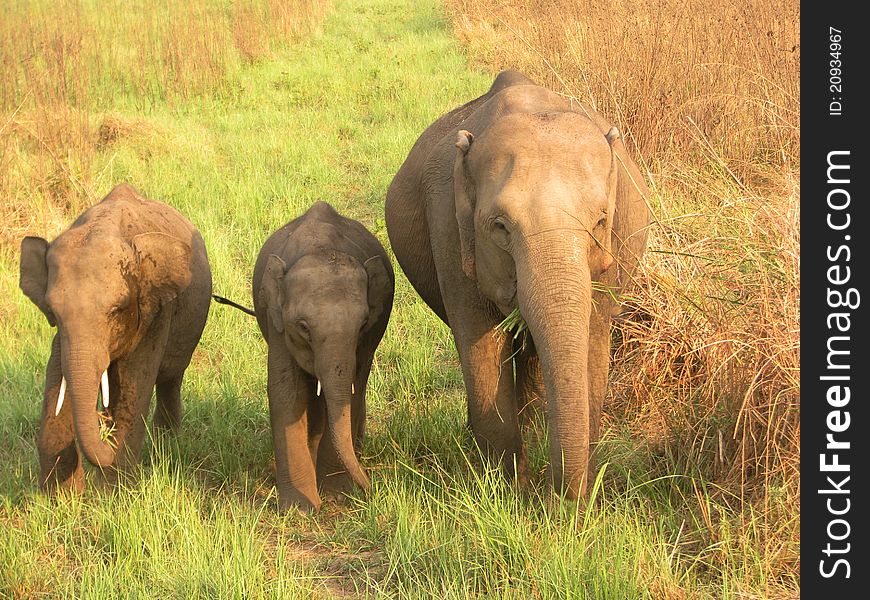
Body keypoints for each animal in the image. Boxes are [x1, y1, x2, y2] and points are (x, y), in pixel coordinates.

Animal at [252, 202, 396, 510]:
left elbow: (351, 390)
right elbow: (286, 393)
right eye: (303, 327)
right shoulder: (277, 322)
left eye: (363, 323)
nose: (373, 489)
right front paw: (300, 509)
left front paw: (336, 495)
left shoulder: (366, 340)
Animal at [384, 69, 652, 502]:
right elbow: (481, 345)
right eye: (500, 227)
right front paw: (510, 491)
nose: (556, 500)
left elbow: (594, 337)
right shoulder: (449, 231)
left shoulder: (614, 248)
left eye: (599, 221)